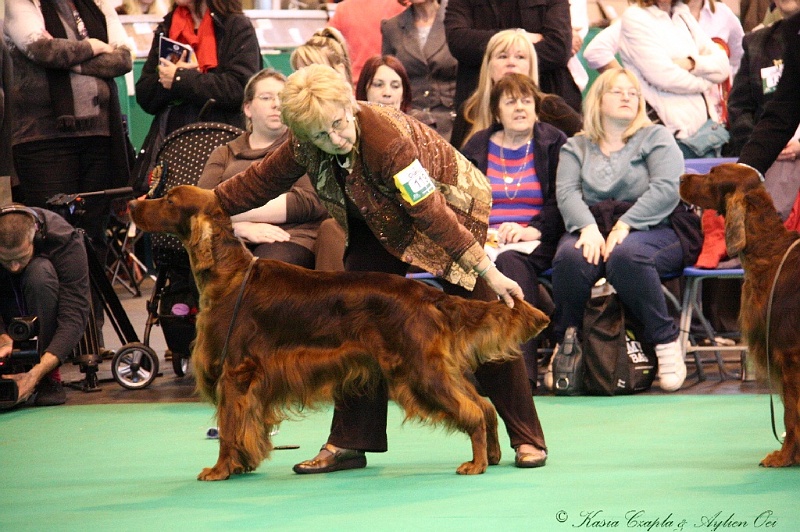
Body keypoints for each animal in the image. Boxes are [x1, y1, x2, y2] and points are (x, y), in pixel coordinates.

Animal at [128, 186, 552, 478]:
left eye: (168, 199)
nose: (132, 204)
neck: (230, 274)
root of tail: (424, 292)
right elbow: (244, 426)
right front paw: (242, 464)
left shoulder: (235, 371)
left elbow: (230, 427)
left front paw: (219, 470)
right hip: (429, 367)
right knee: (483, 405)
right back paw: (492, 457)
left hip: (419, 371)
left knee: (474, 410)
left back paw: (476, 464)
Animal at [680, 164, 800, 468]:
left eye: (712, 174)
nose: (681, 177)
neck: (769, 251)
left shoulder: (789, 354)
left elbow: (791, 414)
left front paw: (783, 456)